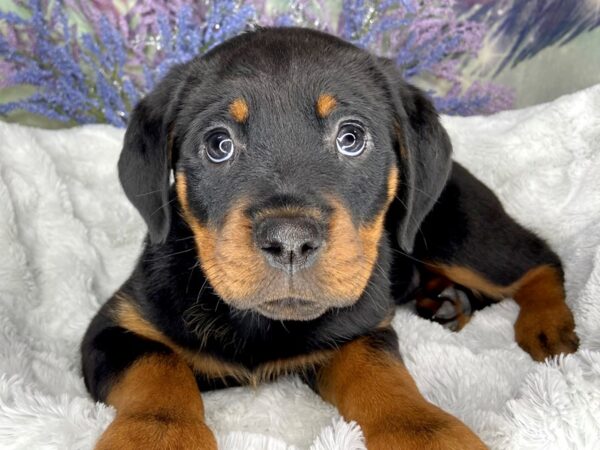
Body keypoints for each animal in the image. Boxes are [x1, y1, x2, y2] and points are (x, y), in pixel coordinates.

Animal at [82, 28, 580, 450]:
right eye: (218, 144)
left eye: (351, 138)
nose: (290, 241)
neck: (260, 323)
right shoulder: (116, 328)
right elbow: (158, 368)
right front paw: (156, 436)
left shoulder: (359, 330)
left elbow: (380, 375)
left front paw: (425, 430)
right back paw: (444, 300)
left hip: (457, 232)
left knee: (540, 259)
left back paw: (547, 326)